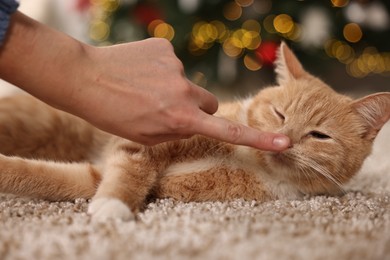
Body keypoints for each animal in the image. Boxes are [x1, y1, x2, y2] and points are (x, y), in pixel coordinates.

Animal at [0, 43, 390, 219]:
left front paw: (110, 206)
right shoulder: (143, 140)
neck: (247, 159)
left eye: (318, 136)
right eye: (279, 114)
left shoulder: (95, 175)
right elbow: (131, 171)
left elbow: (48, 176)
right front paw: (115, 205)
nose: (285, 140)